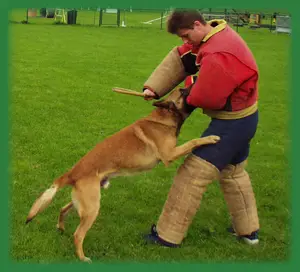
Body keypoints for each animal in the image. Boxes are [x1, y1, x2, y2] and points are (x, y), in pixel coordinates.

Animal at [25, 86, 220, 262]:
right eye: (183, 91)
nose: (196, 80)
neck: (163, 118)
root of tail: (72, 172)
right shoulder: (169, 155)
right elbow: (193, 141)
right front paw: (210, 139)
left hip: (85, 201)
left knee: (62, 208)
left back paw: (60, 228)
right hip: (92, 208)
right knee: (78, 235)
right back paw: (82, 258)